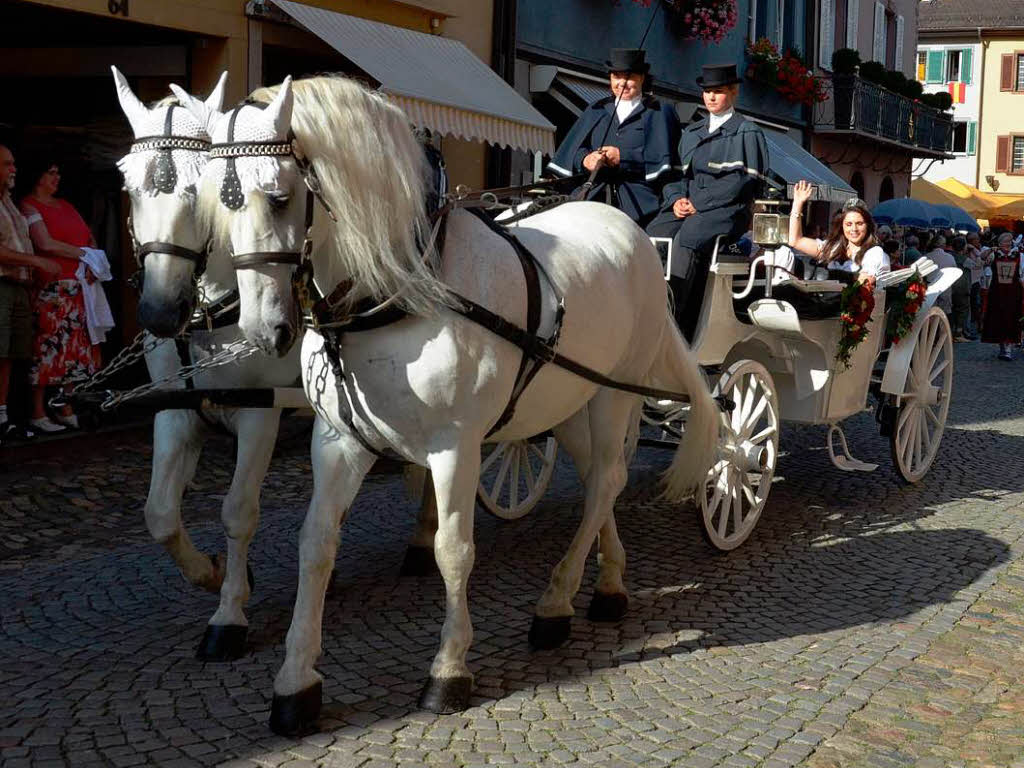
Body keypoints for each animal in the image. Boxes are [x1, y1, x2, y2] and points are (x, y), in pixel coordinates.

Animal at [184, 75, 716, 737]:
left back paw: (555, 602)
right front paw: (296, 679)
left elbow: (452, 550)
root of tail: (628, 227)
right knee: (602, 478)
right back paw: (608, 585)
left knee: (605, 483)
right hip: (567, 402)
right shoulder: (339, 441)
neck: (399, 290)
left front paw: (449, 669)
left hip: (614, 392)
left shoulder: (455, 446)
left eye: (280, 198)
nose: (262, 330)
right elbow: (316, 545)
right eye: (216, 203)